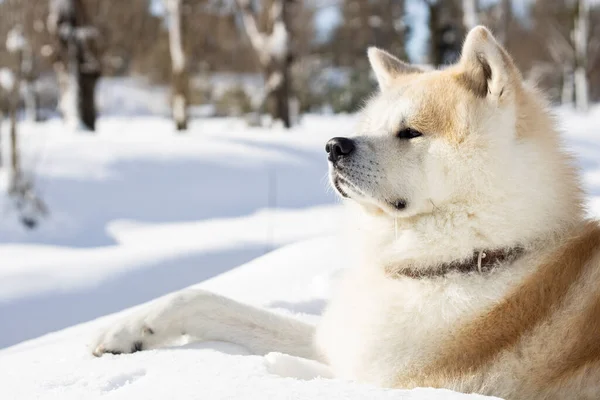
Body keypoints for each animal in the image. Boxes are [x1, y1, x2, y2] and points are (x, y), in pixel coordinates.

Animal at [91, 26, 600, 398]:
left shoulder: (385, 377)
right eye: (368, 126)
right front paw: (130, 329)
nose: (333, 146)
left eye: (410, 132)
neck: (475, 257)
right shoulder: (339, 342)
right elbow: (203, 299)